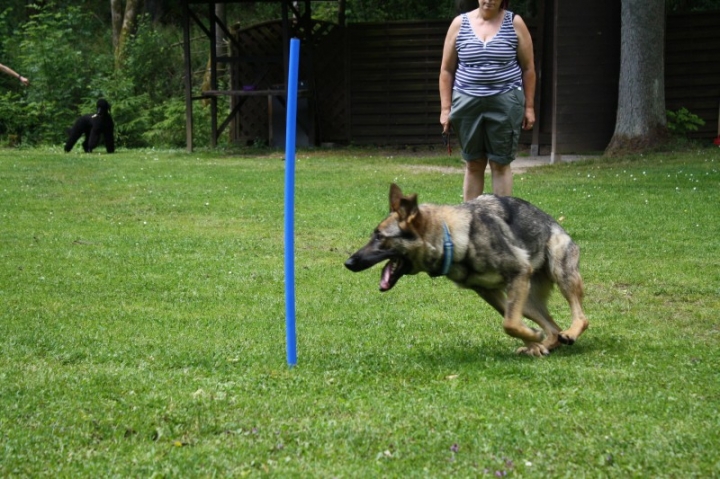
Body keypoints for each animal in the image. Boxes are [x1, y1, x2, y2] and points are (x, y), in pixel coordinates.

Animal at [344, 186, 592, 358]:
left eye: (379, 237)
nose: (348, 262)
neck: (450, 238)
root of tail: (556, 225)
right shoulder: (488, 292)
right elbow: (511, 322)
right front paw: (534, 342)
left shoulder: (518, 273)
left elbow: (510, 324)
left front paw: (534, 338)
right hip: (527, 301)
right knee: (553, 328)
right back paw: (547, 344)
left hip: (560, 274)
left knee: (581, 317)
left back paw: (570, 332)